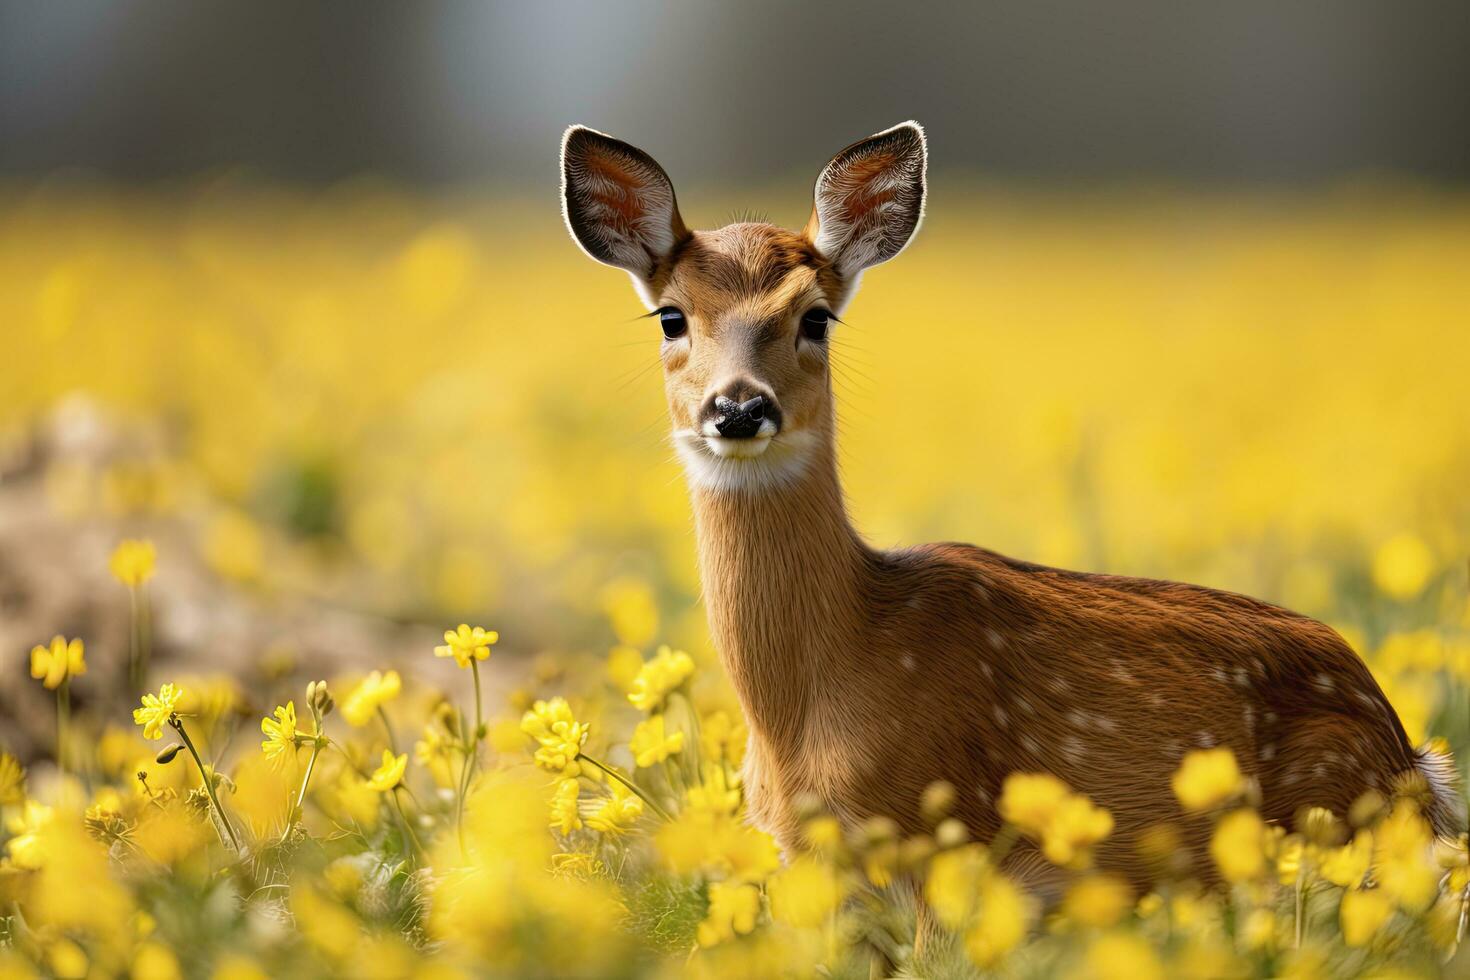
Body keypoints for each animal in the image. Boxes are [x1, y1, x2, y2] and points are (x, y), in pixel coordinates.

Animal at [555, 120, 1464, 905]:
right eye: (671, 315)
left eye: (815, 315)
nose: (740, 408)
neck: (804, 716)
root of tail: (1415, 758)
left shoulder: (938, 834)